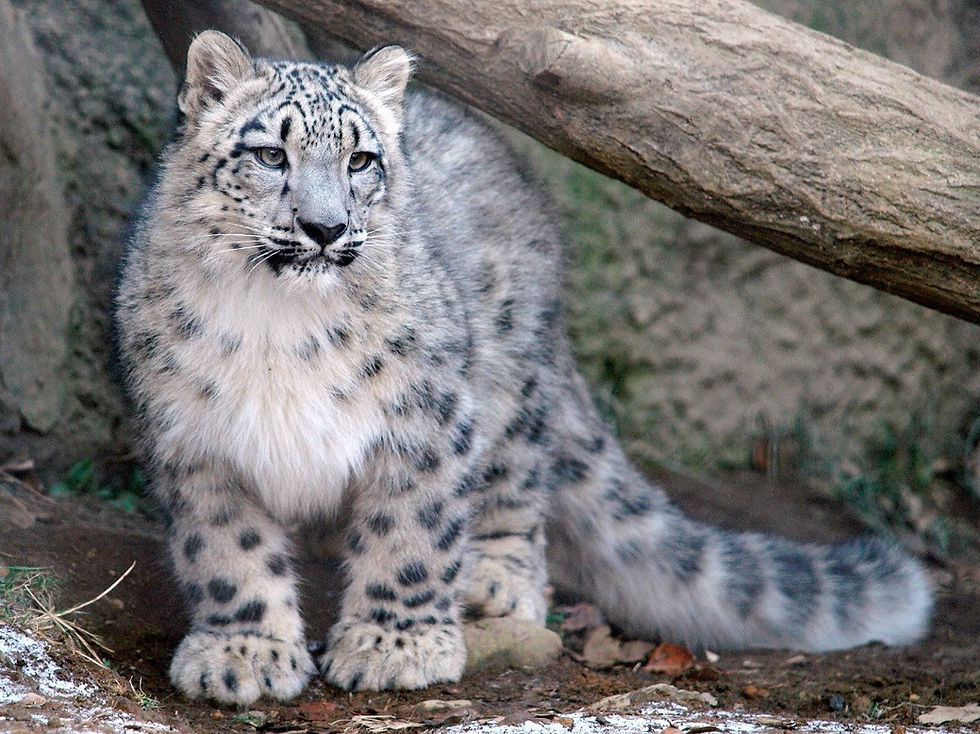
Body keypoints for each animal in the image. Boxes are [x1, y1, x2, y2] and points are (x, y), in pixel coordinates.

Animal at [115, 30, 933, 706]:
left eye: (360, 159)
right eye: (270, 155)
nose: (325, 227)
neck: (278, 324)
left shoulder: (426, 417)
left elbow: (413, 534)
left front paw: (396, 646)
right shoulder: (195, 437)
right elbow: (228, 550)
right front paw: (243, 653)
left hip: (507, 384)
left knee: (517, 486)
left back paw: (495, 581)